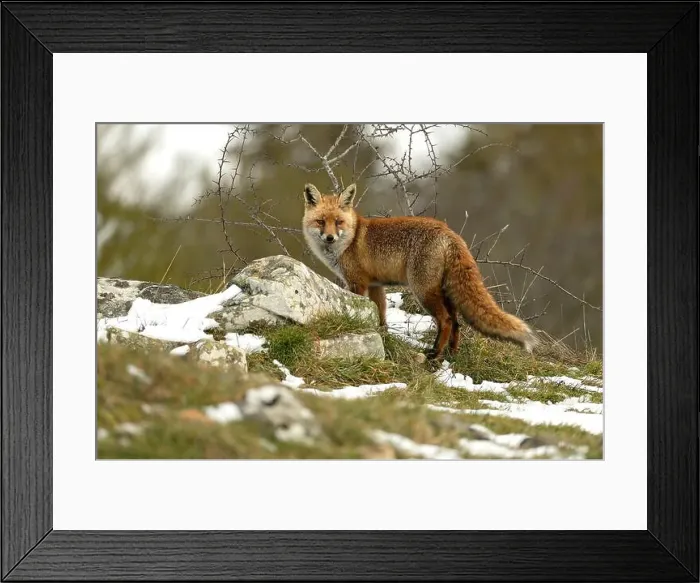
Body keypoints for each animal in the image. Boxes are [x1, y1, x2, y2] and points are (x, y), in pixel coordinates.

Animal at [301, 182, 539, 360]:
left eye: (338, 222)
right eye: (321, 221)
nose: (329, 238)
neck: (349, 241)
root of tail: (450, 233)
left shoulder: (356, 283)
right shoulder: (376, 285)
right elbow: (381, 316)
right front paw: (381, 336)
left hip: (423, 290)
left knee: (446, 320)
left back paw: (434, 354)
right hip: (445, 291)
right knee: (457, 322)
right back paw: (451, 354)